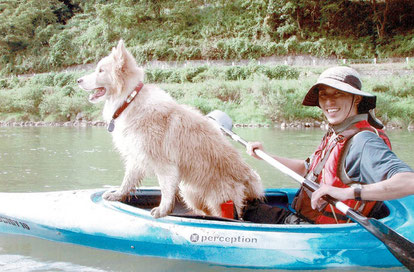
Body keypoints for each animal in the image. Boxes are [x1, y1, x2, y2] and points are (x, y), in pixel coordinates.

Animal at [77, 40, 262, 218]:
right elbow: (128, 180)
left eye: (100, 71)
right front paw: (118, 194)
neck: (129, 100)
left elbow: (166, 190)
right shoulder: (137, 155)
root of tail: (249, 179)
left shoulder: (164, 164)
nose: (78, 81)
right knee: (205, 211)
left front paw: (163, 210)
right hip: (190, 192)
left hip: (219, 198)